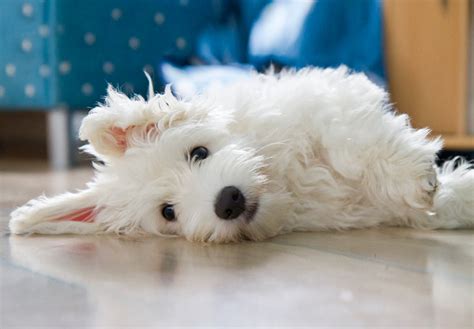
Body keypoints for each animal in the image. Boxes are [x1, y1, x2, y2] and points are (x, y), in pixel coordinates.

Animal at [8, 67, 474, 241]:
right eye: (168, 212)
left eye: (199, 152)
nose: (228, 201)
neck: (285, 184)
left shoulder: (328, 101)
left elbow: (349, 141)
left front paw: (415, 178)